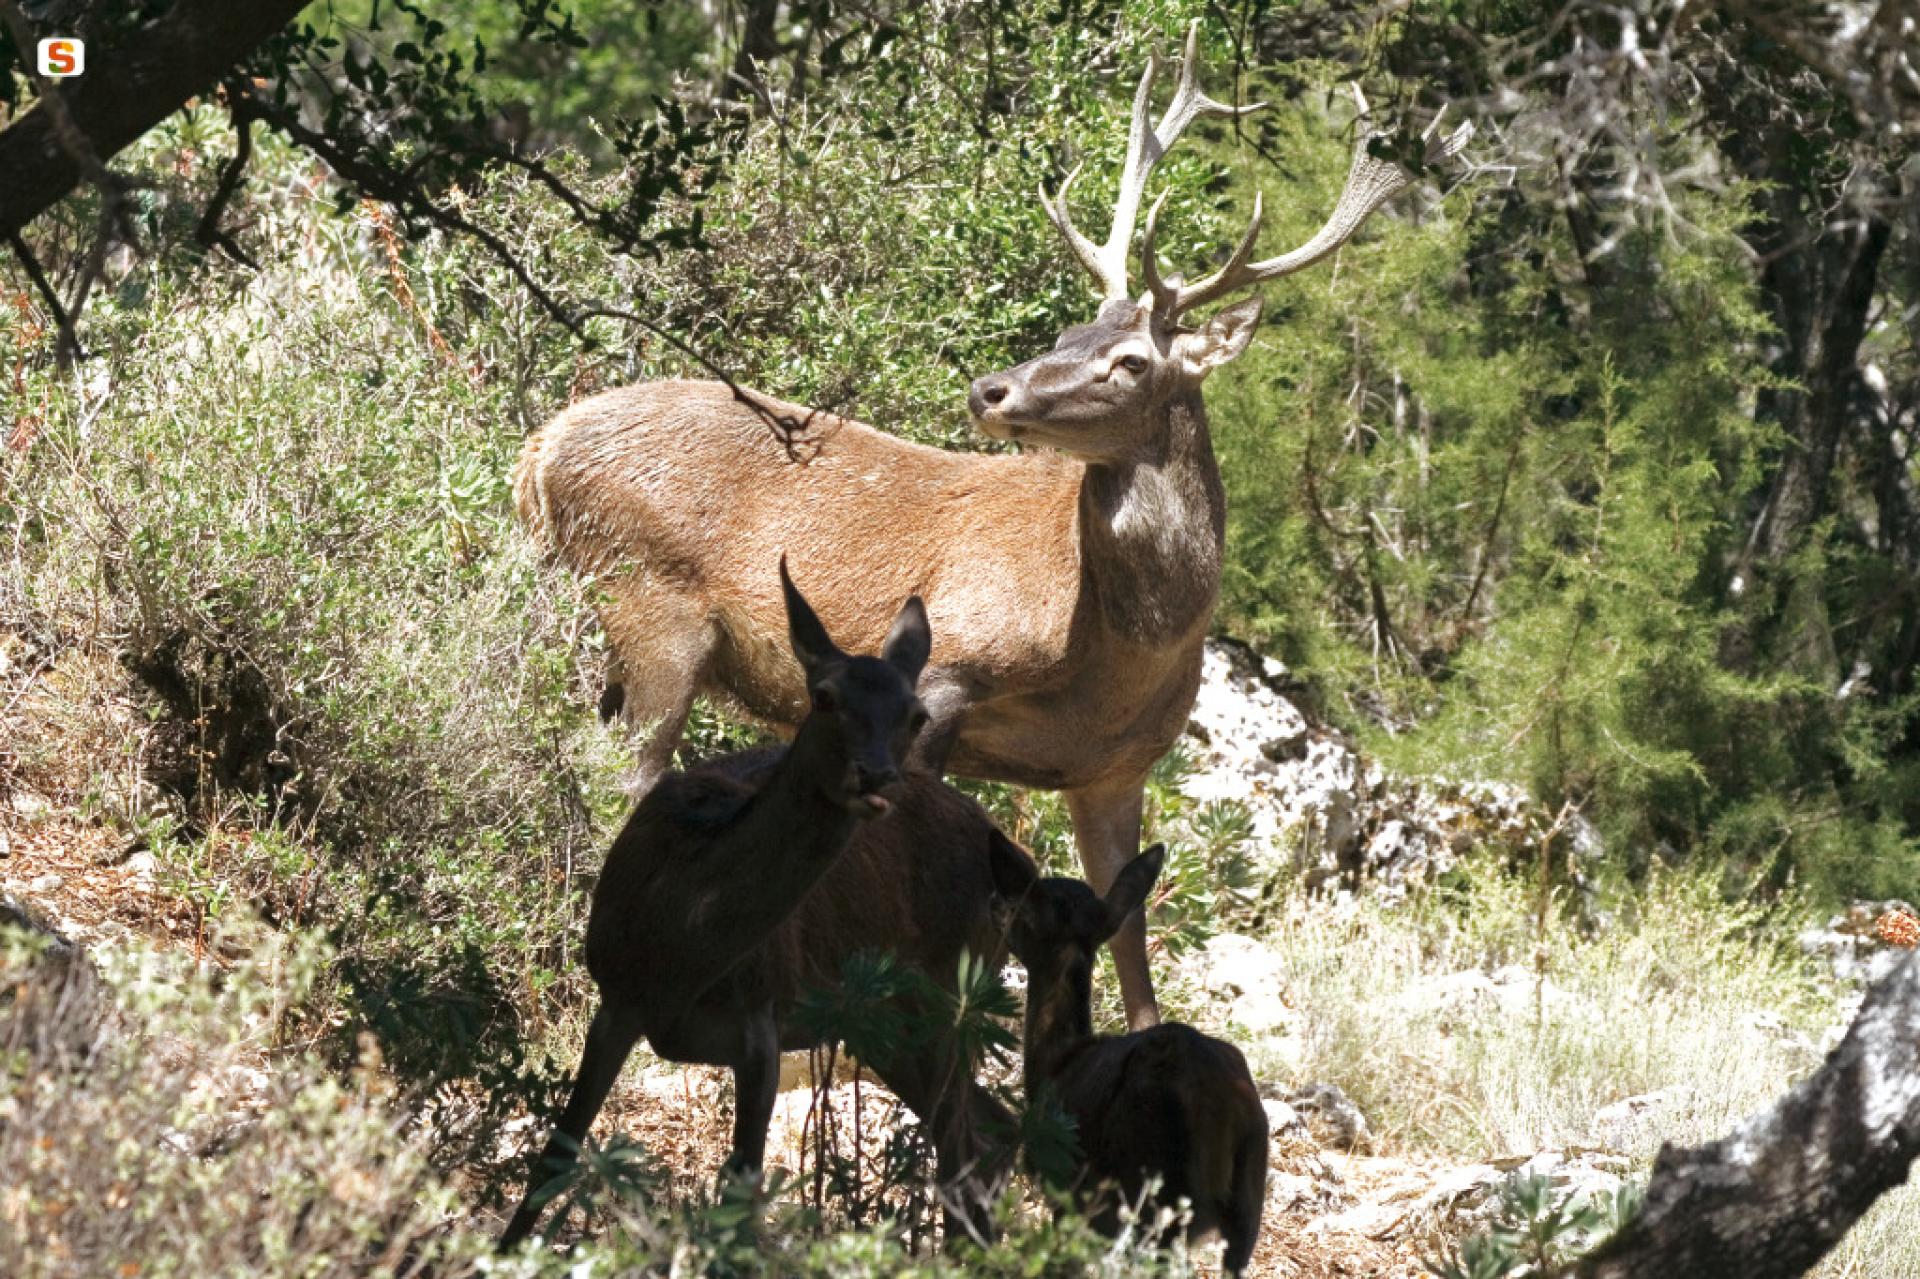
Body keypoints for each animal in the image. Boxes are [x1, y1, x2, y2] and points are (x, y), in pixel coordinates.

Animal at [503, 556, 1013, 1244]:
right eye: (823, 696)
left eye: (916, 716)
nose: (877, 777)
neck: (681, 944)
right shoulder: (615, 999)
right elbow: (554, 1156)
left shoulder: (762, 1022)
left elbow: (741, 1194)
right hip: (893, 1026)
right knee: (989, 1136)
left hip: (952, 998)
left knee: (966, 1148)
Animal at [514, 24, 1466, 1029]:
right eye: (1072, 327)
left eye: (1130, 359)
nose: (990, 388)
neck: (1112, 653)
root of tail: (537, 452)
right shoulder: (950, 674)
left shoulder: (1116, 769)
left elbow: (1131, 939)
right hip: (653, 603)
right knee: (620, 770)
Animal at [983, 837, 1267, 1267]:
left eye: (1021, 910)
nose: (995, 903)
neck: (1056, 1061)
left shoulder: (1065, 1186)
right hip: (1249, 1200)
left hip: (1142, 1186)